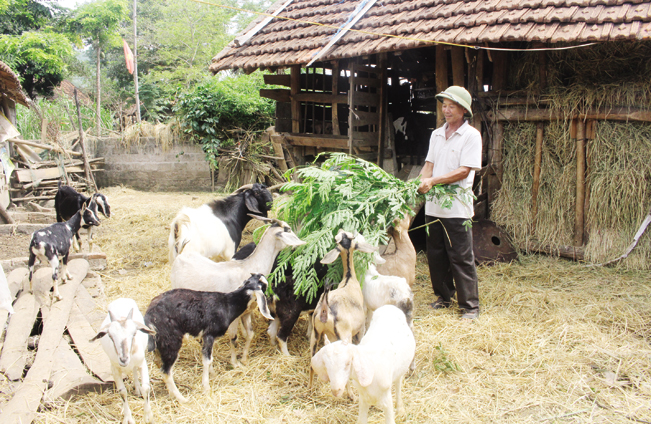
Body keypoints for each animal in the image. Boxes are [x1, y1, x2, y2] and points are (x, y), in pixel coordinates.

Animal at [144, 274, 274, 402]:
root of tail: (149, 316)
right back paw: (182, 399)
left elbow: (209, 357)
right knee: (166, 371)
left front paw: (213, 374)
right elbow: (207, 360)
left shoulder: (206, 337)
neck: (227, 304)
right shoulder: (209, 334)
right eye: (264, 285)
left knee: (158, 362)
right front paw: (206, 387)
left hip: (160, 342)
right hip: (171, 341)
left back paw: (171, 393)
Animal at [172, 215, 306, 368]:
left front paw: (244, 359)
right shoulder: (233, 316)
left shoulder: (246, 313)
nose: (300, 242)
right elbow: (233, 338)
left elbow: (250, 335)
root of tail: (181, 255)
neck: (247, 267)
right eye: (288, 229)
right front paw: (235, 363)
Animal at [310, 230, 376, 390]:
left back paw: (309, 389)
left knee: (311, 363)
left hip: (315, 334)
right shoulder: (360, 327)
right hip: (343, 336)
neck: (348, 280)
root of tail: (325, 307)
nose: (340, 230)